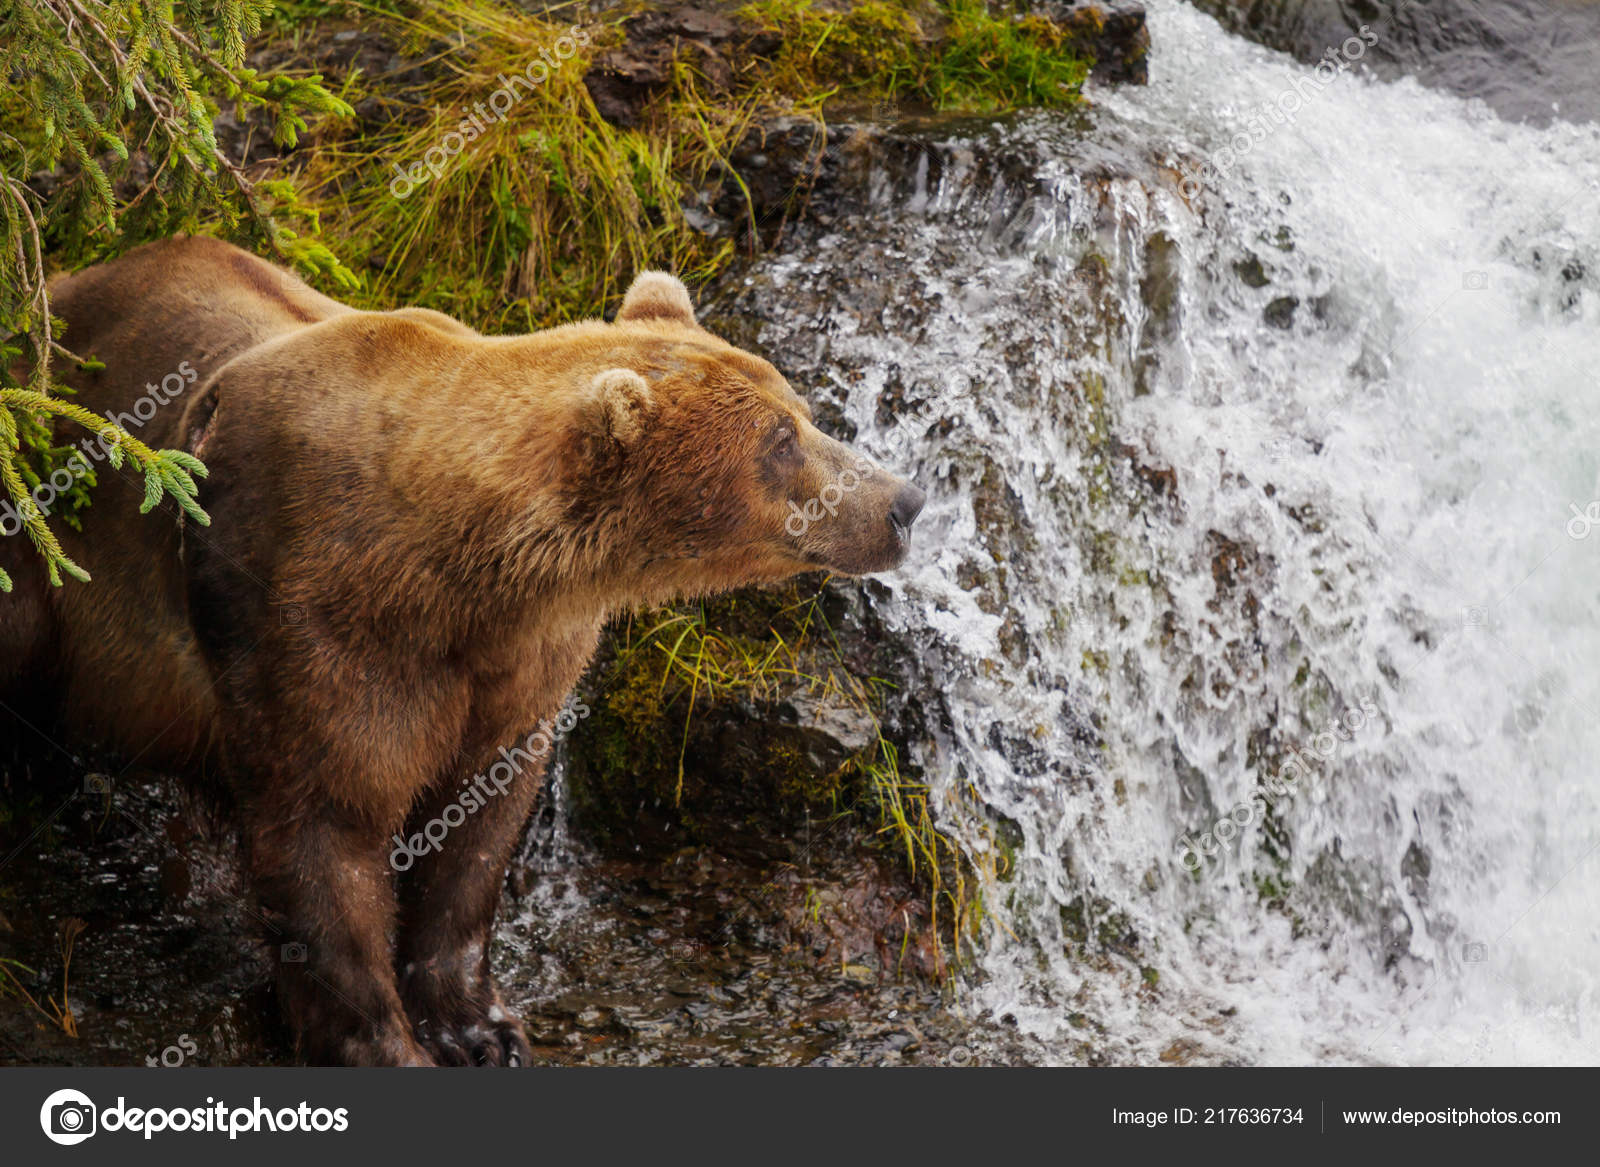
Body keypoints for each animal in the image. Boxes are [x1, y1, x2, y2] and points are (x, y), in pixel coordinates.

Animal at [0, 236, 928, 1062]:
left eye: (799, 410)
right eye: (780, 441)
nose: (905, 500)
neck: (460, 576)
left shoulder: (517, 665)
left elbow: (477, 827)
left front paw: (480, 1027)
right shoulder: (307, 620)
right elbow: (325, 831)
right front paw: (386, 1043)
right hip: (43, 558)